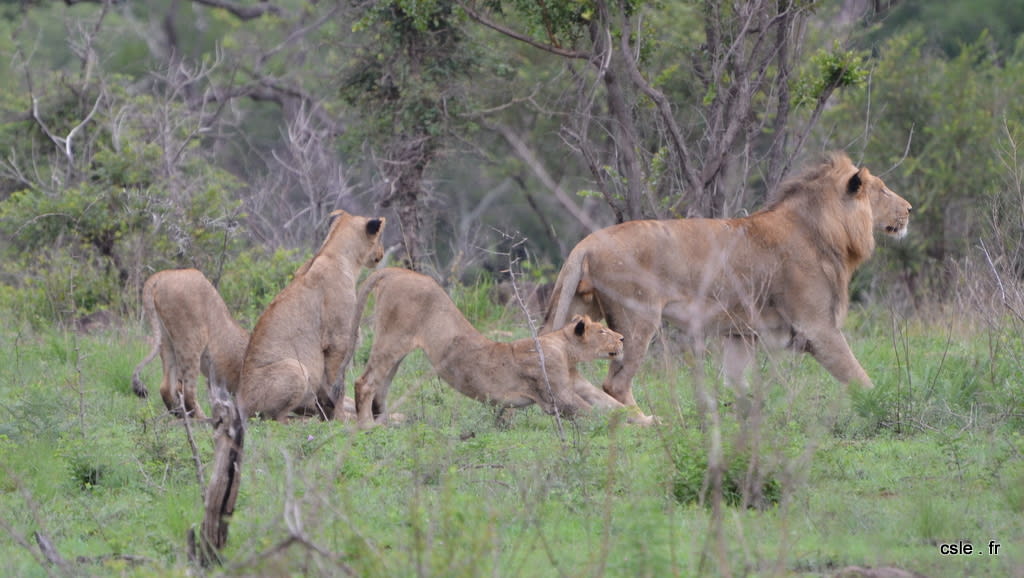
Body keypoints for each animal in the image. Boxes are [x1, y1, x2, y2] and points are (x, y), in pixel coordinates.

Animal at [130, 268, 247, 418]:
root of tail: (160, 275)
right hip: (192, 340)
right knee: (186, 390)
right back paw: (203, 419)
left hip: (166, 341)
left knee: (166, 387)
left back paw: (181, 414)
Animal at [237, 211, 385, 420]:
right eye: (379, 238)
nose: (382, 253)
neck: (333, 253)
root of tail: (238, 403)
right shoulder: (337, 341)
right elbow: (337, 387)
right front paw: (340, 419)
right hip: (295, 368)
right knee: (276, 418)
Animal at [339, 268, 638, 426]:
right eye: (602, 331)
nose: (623, 338)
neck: (564, 349)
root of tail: (395, 270)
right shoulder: (557, 397)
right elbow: (594, 412)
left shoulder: (576, 384)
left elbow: (614, 406)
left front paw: (646, 422)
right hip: (393, 338)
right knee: (365, 382)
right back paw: (366, 427)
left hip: (397, 348)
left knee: (381, 387)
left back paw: (386, 423)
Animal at [544, 151, 913, 418]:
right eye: (882, 190)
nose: (909, 209)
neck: (826, 230)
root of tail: (587, 242)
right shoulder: (816, 327)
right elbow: (859, 377)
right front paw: (883, 406)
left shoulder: (741, 334)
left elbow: (736, 381)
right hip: (637, 320)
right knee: (616, 383)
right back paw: (644, 421)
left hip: (578, 314)